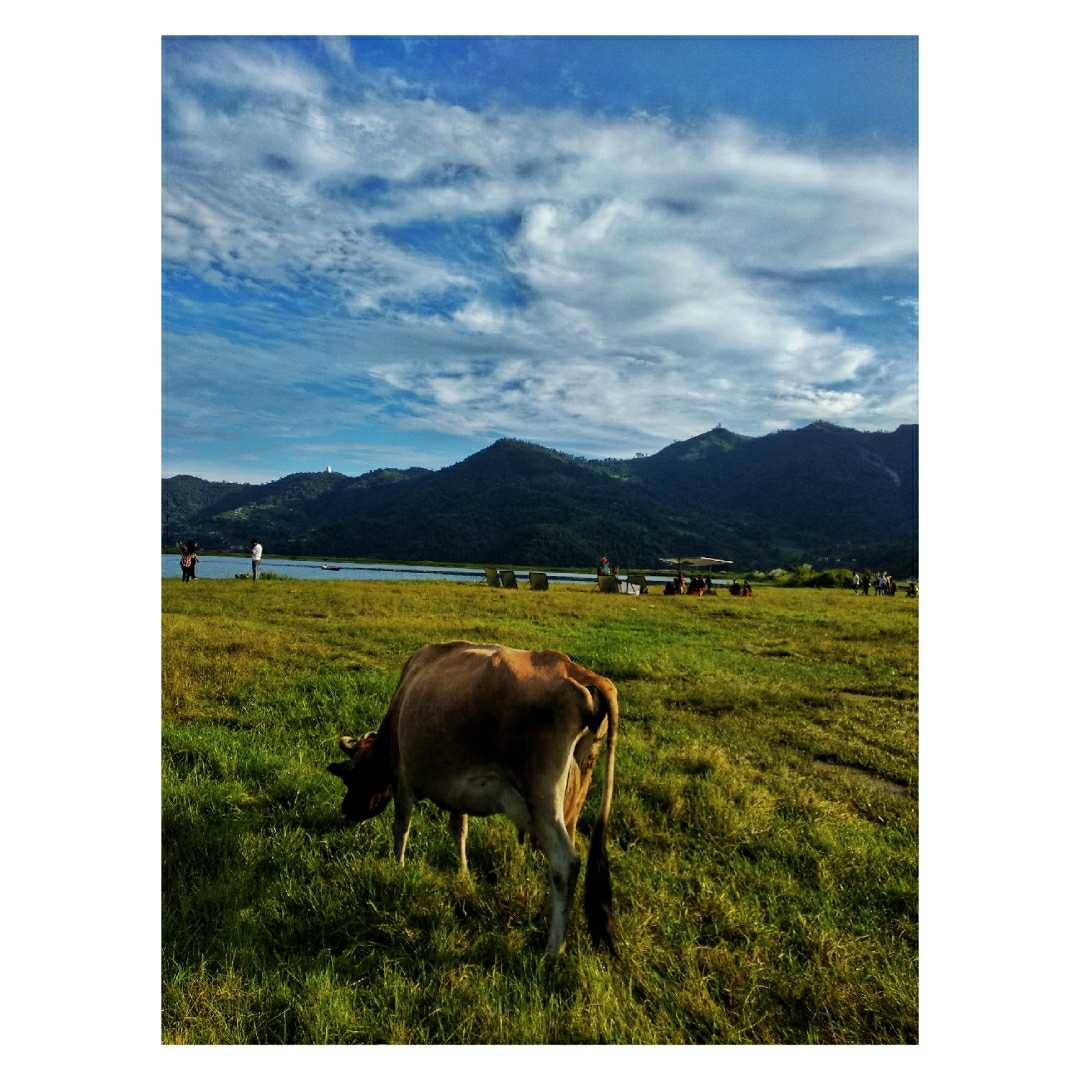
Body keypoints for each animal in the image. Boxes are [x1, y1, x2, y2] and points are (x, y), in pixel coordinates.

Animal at [327, 641, 618, 957]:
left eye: (351, 776)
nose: (346, 809)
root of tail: (578, 672)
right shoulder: (458, 792)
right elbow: (459, 830)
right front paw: (464, 874)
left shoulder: (403, 780)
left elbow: (401, 828)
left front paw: (398, 867)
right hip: (573, 797)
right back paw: (545, 917)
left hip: (542, 801)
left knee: (566, 863)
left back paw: (553, 949)